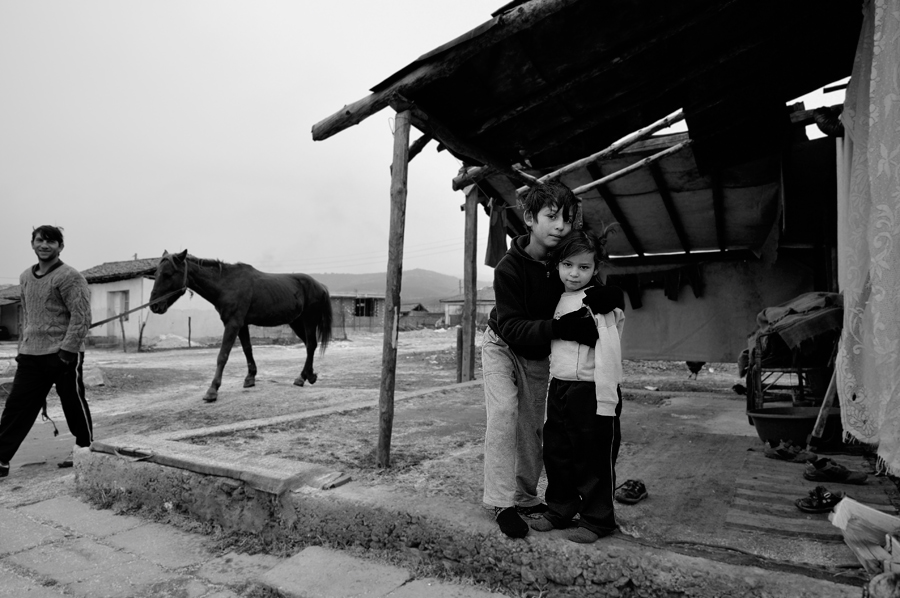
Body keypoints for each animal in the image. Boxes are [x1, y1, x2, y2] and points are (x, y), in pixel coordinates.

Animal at [148, 250, 332, 402]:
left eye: (167, 274)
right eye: (156, 274)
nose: (154, 306)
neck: (227, 284)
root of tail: (321, 286)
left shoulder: (233, 324)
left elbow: (223, 355)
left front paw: (212, 390)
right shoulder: (241, 325)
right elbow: (247, 349)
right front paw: (250, 378)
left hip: (308, 321)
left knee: (311, 345)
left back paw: (302, 377)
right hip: (296, 322)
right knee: (309, 345)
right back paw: (308, 375)